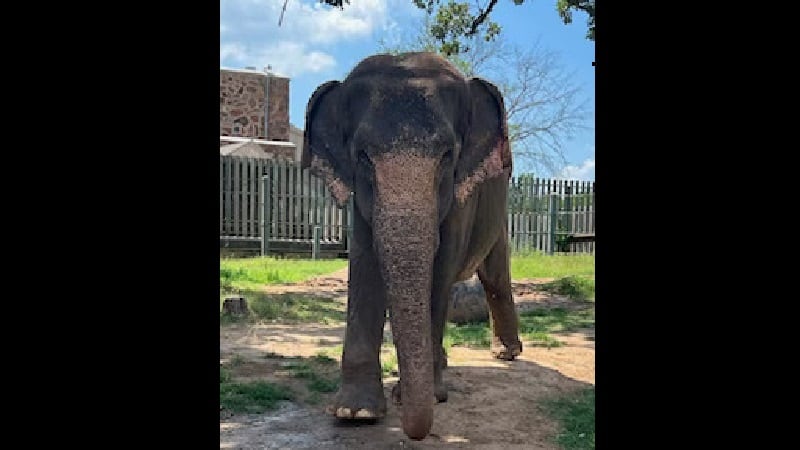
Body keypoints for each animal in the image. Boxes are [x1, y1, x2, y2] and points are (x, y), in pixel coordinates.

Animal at [301, 52, 522, 440]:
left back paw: (505, 355)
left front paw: (427, 396)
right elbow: (364, 262)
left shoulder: (461, 198)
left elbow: (441, 269)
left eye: (448, 155)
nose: (413, 429)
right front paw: (355, 413)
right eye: (362, 156)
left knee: (495, 277)